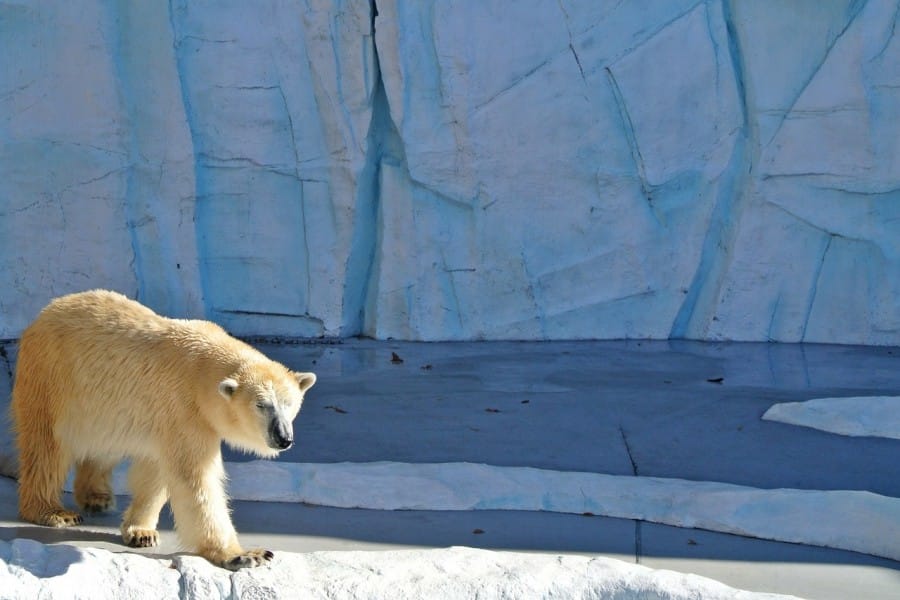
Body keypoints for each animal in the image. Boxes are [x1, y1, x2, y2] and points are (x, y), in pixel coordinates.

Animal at [10, 288, 316, 568]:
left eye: (289, 403)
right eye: (261, 405)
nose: (283, 437)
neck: (200, 368)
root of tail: (43, 314)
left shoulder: (166, 417)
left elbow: (155, 471)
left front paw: (141, 532)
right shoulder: (184, 409)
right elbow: (194, 479)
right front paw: (243, 555)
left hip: (102, 404)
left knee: (104, 443)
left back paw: (97, 496)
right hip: (54, 379)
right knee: (47, 445)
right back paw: (53, 511)